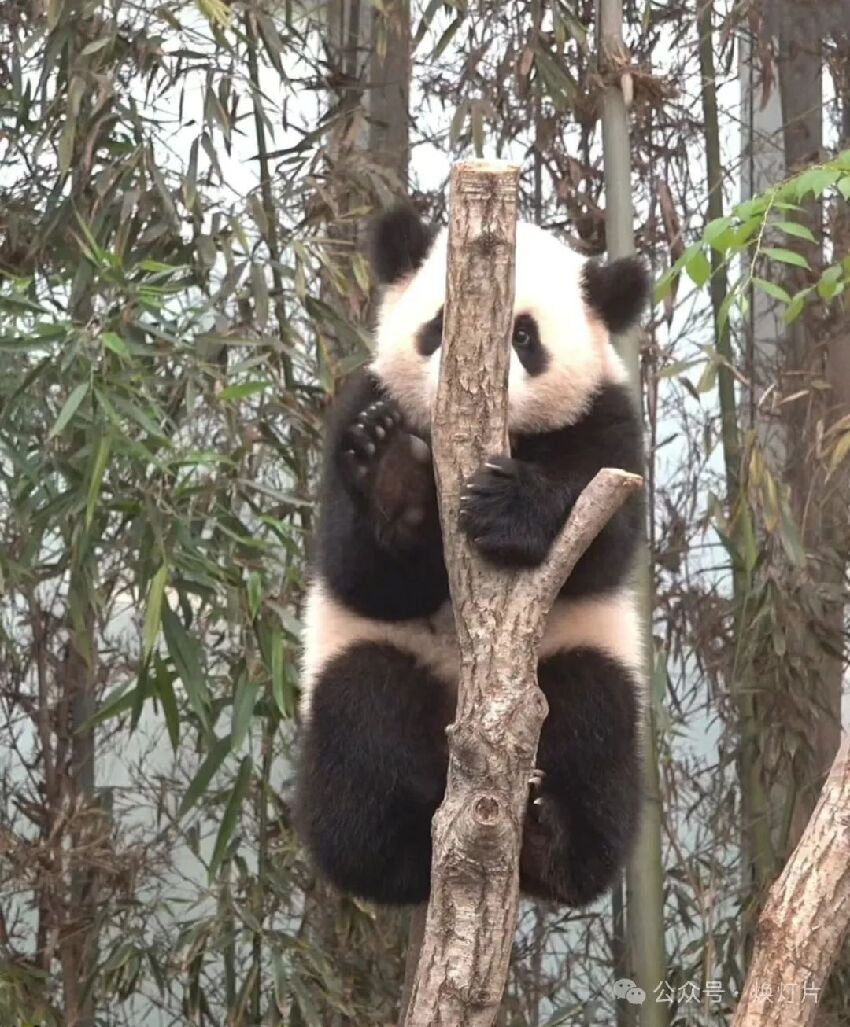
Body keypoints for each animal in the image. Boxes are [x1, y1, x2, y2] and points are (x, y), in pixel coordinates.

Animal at [295, 204, 648, 911]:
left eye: (526, 337)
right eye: (439, 326)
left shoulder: (610, 424)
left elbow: (600, 540)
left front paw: (509, 506)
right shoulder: (360, 404)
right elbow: (361, 573)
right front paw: (393, 474)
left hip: (579, 662)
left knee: (594, 718)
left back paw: (552, 841)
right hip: (366, 668)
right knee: (363, 719)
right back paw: (400, 854)